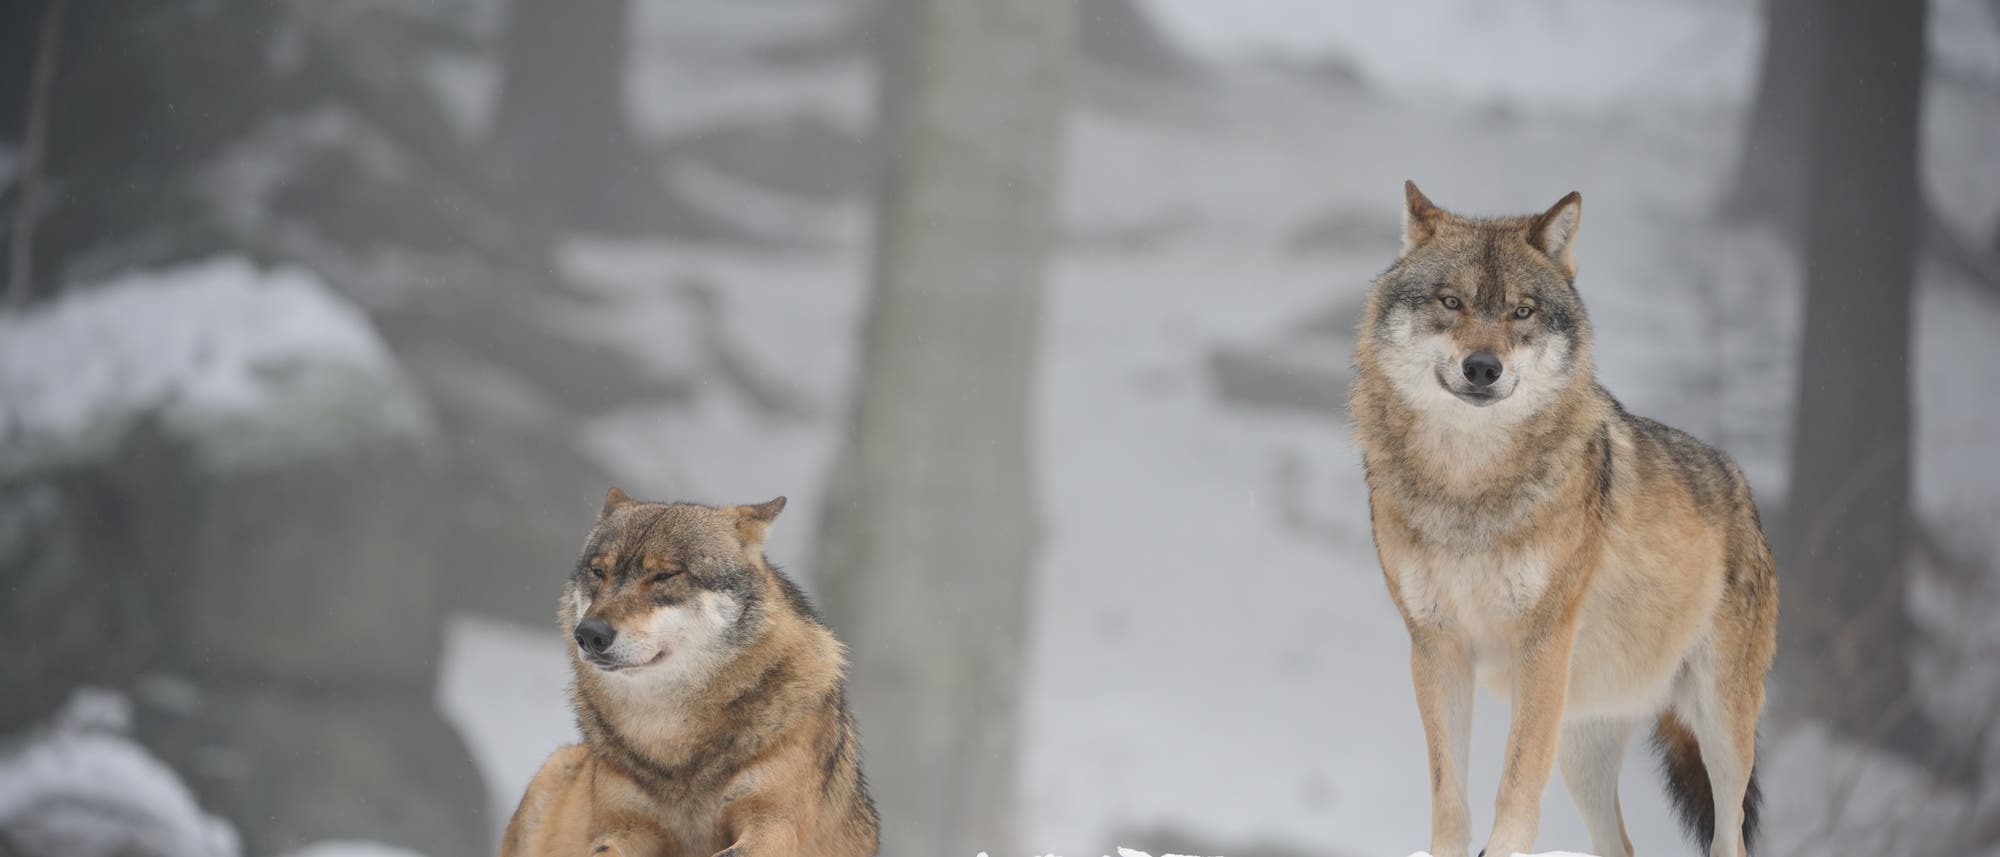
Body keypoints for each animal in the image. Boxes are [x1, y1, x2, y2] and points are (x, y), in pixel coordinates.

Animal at [500, 488, 876, 857]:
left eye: (664, 575)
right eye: (598, 572)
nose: (589, 634)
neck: (669, 732)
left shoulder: (775, 821)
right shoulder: (625, 826)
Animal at [1352, 182, 1776, 857]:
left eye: (1522, 312)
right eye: (1451, 302)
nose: (1482, 367)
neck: (1469, 485)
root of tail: (1742, 486)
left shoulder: (1542, 644)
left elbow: (1516, 781)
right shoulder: (1435, 648)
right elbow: (1449, 793)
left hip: (1721, 728)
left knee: (1729, 835)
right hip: (1583, 744)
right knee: (1619, 846)